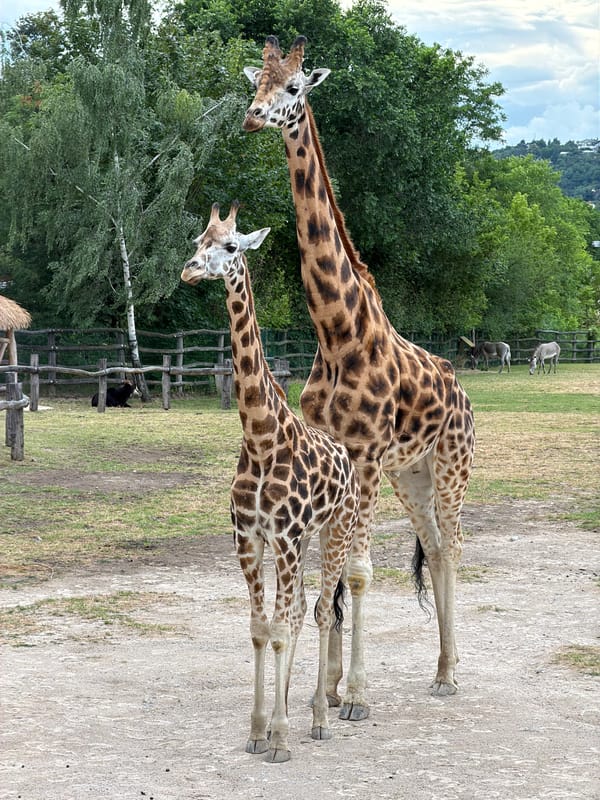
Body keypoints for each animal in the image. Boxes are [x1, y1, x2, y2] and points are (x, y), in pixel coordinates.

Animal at [181, 201, 360, 763]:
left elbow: (281, 628)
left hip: (336, 530)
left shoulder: (285, 536)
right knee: (301, 610)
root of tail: (349, 458)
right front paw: (259, 729)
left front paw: (280, 737)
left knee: (322, 611)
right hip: (304, 542)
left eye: (231, 246)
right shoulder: (250, 538)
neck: (260, 437)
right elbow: (262, 629)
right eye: (196, 241)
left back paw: (320, 717)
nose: (189, 270)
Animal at [242, 36, 475, 718]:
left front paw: (355, 695)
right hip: (411, 474)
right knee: (433, 545)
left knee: (454, 545)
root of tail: (463, 392)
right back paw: (442, 666)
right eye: (256, 82)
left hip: (449, 465)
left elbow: (359, 571)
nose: (253, 117)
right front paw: (327, 686)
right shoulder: (342, 462)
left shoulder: (367, 454)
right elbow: (334, 574)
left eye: (294, 88)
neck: (336, 331)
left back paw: (451, 672)